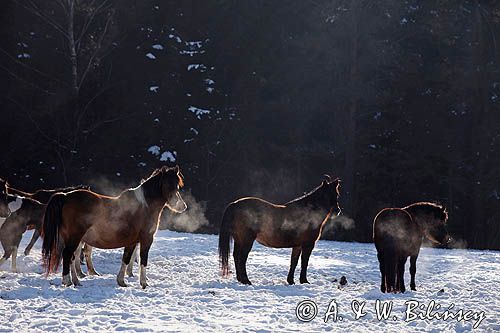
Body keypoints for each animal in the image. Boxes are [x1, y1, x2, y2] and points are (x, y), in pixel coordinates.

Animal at [41, 165, 188, 286]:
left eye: (177, 185)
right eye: (168, 184)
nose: (182, 206)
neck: (145, 205)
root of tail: (65, 196)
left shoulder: (132, 241)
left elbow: (126, 259)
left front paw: (121, 281)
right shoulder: (146, 239)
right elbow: (143, 260)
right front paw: (144, 283)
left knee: (71, 257)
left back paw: (76, 281)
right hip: (74, 238)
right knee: (67, 255)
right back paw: (67, 281)